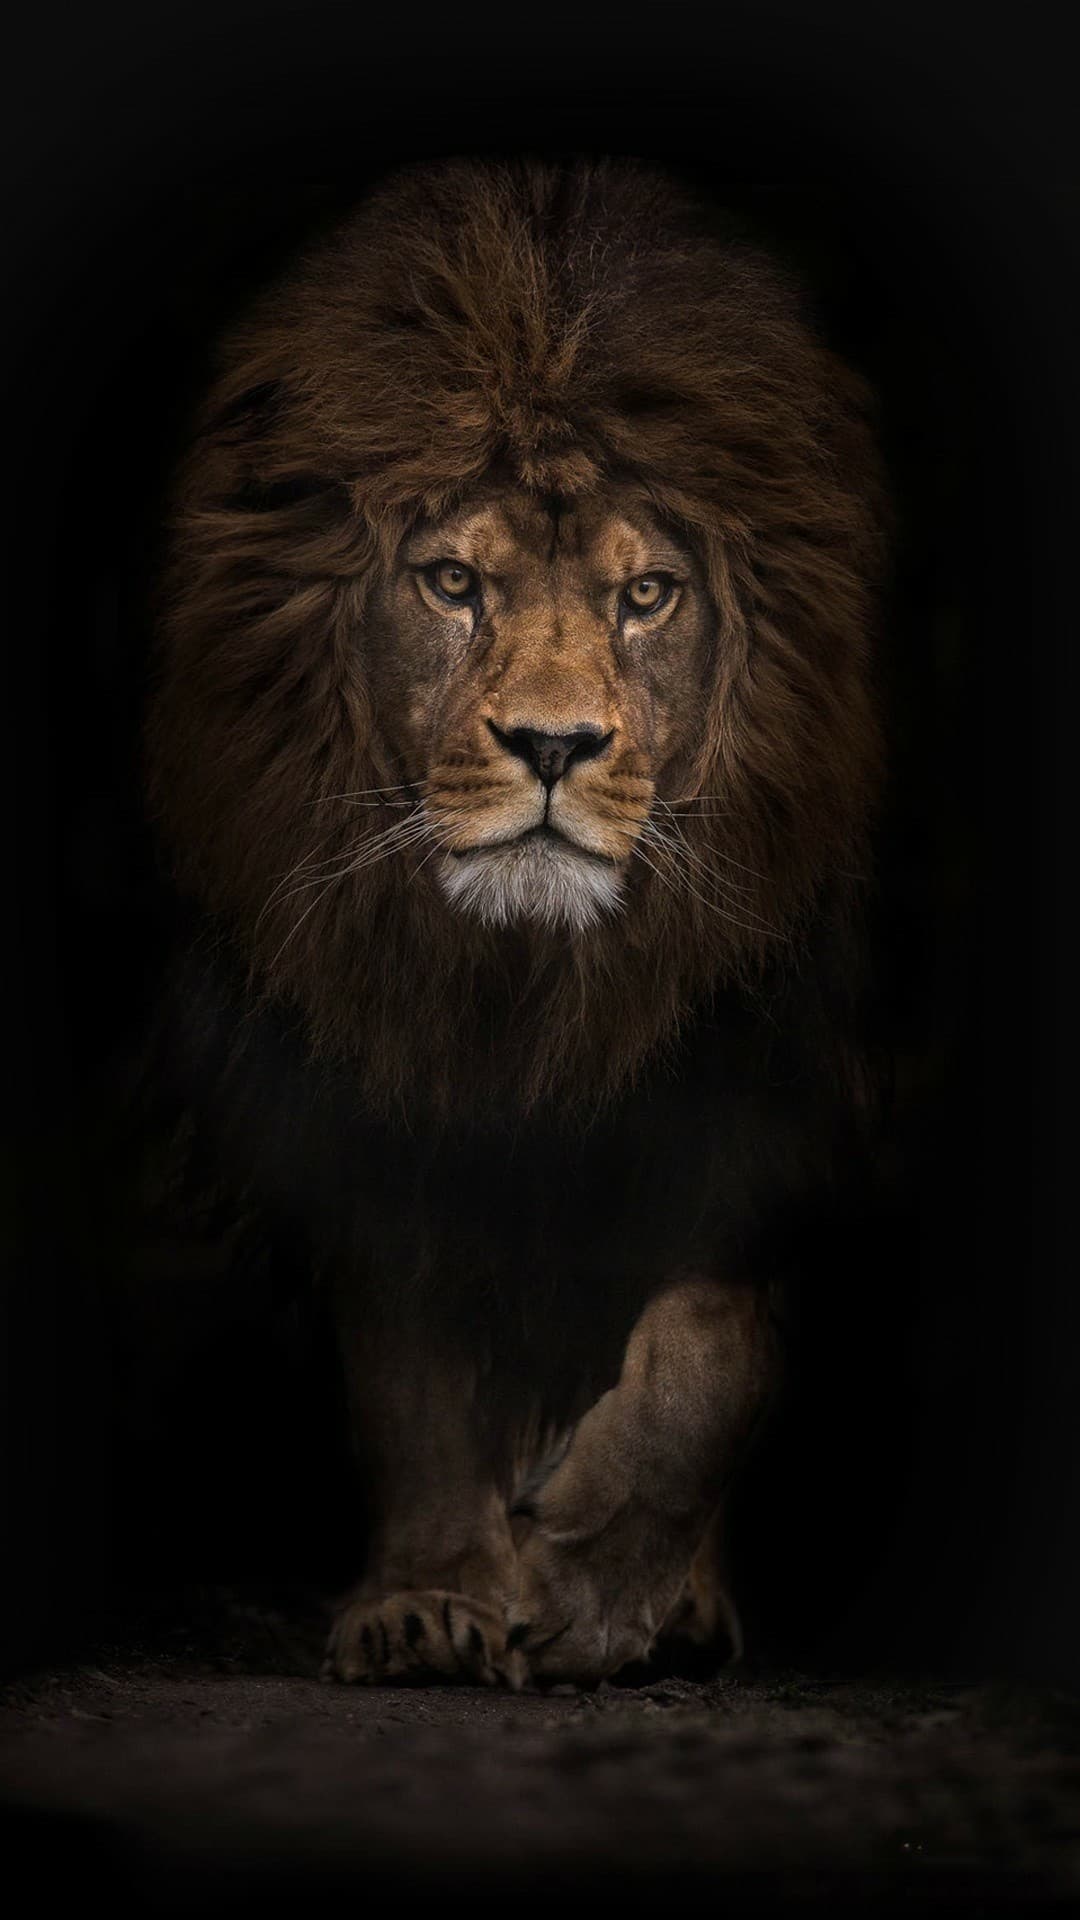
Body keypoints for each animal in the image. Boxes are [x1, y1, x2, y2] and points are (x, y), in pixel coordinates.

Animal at [145, 158, 885, 1687]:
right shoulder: (367, 1089)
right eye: (452, 582)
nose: (553, 744)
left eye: (647, 594)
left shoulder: (777, 1080)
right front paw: (434, 1598)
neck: (525, 990)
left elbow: (713, 1343)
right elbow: (411, 1370)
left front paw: (600, 1586)